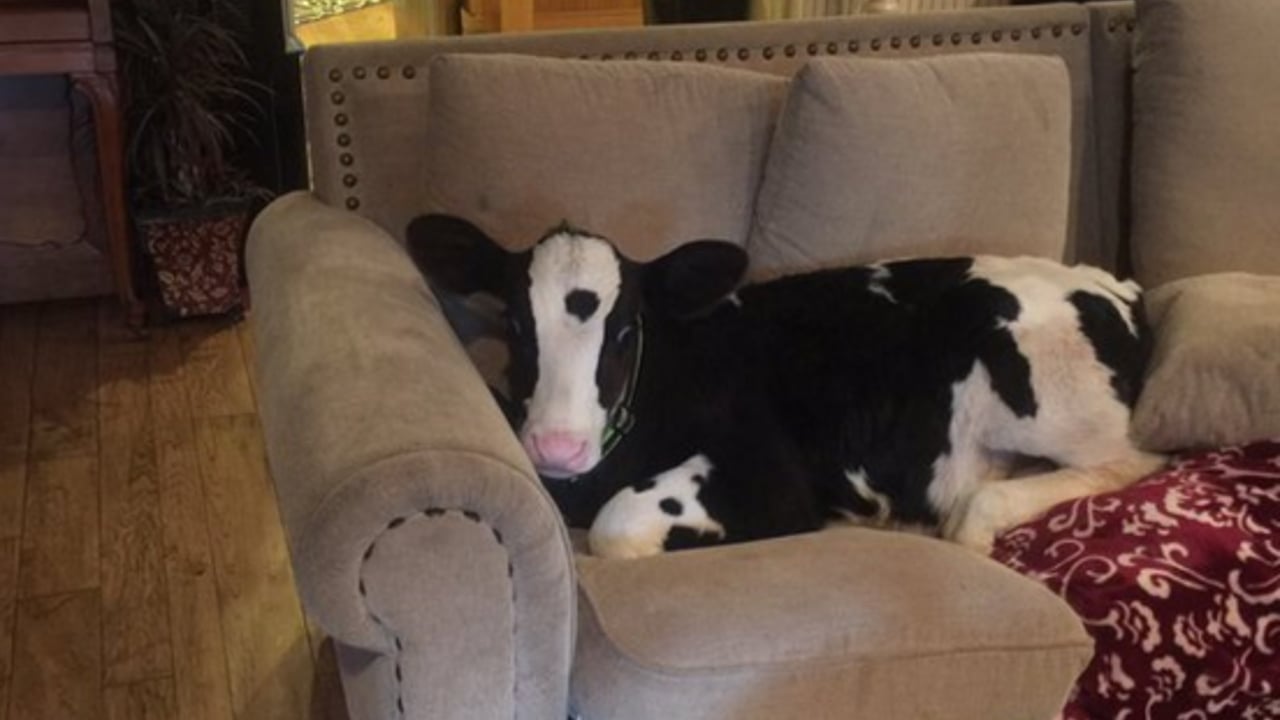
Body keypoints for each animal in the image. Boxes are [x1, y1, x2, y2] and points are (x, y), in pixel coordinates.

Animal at [406, 214, 1166, 559]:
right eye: (514, 320)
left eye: (625, 329)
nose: (556, 447)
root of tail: (1113, 283)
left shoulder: (774, 476)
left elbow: (619, 526)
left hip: (1042, 395)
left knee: (1133, 459)